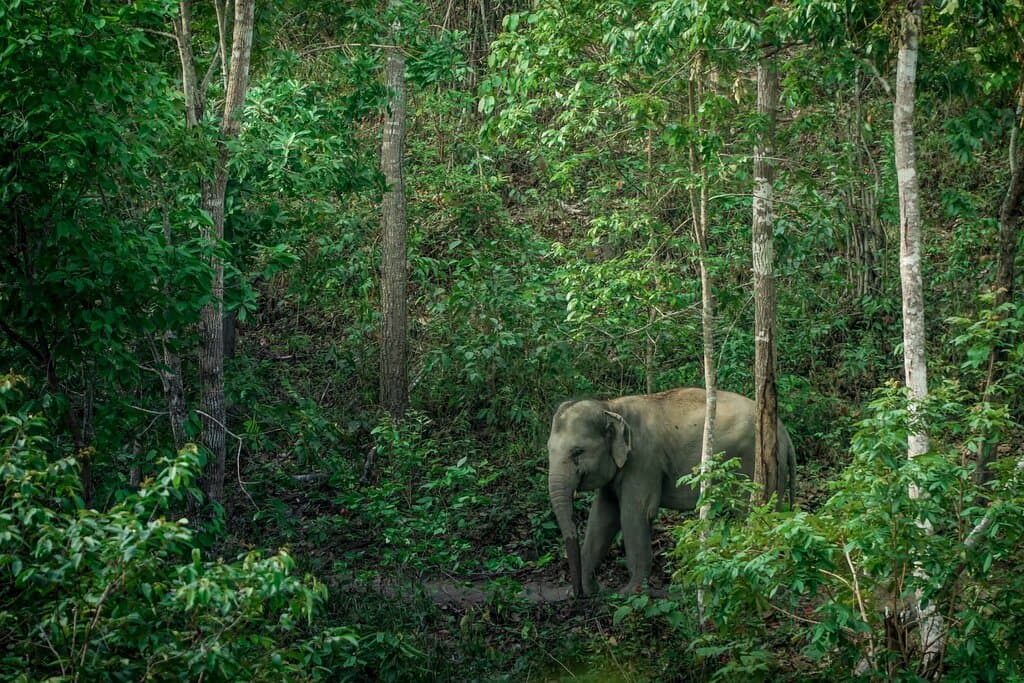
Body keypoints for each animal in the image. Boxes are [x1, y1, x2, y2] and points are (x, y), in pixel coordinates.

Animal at [546, 387, 796, 596]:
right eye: (548, 450)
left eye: (577, 452)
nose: (578, 593)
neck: (611, 407)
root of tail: (784, 432)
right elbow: (602, 518)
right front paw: (589, 592)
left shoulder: (644, 460)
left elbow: (635, 514)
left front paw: (629, 593)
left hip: (754, 466)